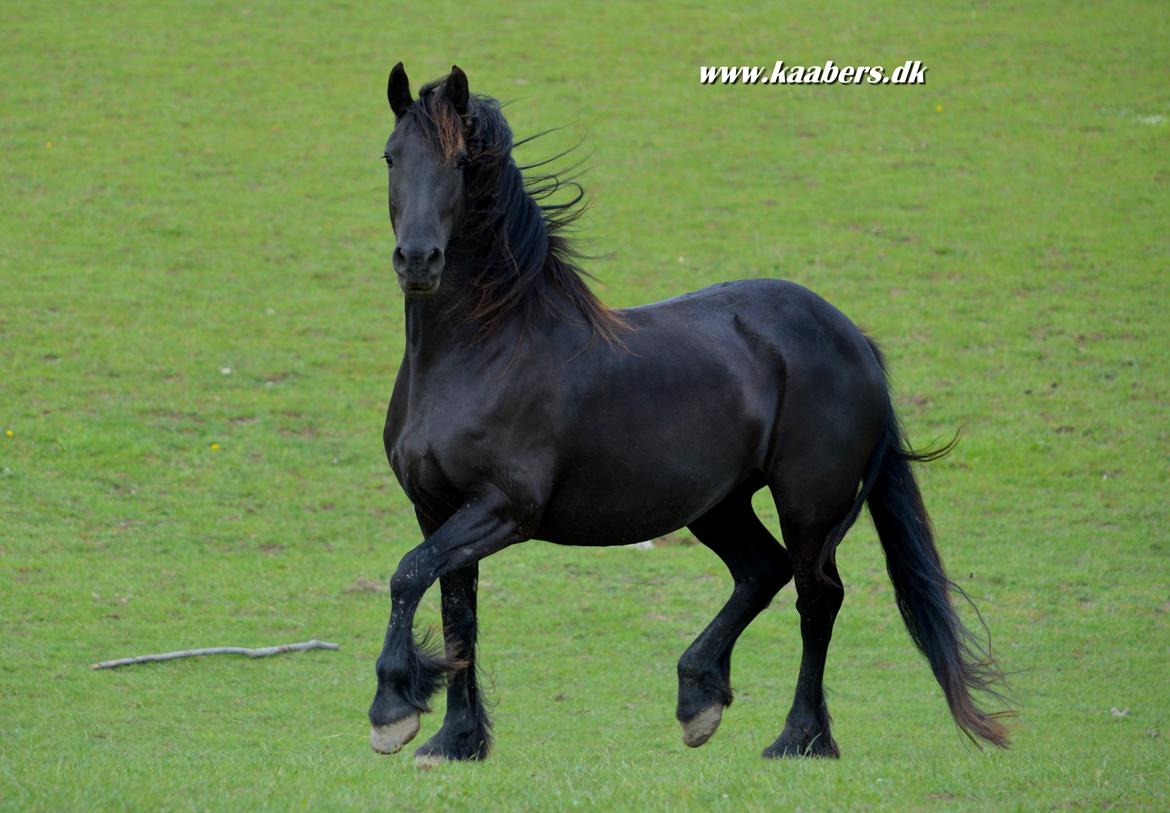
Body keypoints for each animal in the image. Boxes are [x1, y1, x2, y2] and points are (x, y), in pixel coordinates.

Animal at [369, 61, 1010, 762]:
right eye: (391, 156)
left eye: (460, 163)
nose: (418, 260)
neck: (484, 352)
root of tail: (851, 336)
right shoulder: (438, 509)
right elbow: (457, 612)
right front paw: (455, 740)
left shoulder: (504, 509)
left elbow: (406, 576)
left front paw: (393, 709)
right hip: (719, 504)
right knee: (764, 571)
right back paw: (700, 698)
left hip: (810, 504)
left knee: (817, 596)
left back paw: (798, 736)